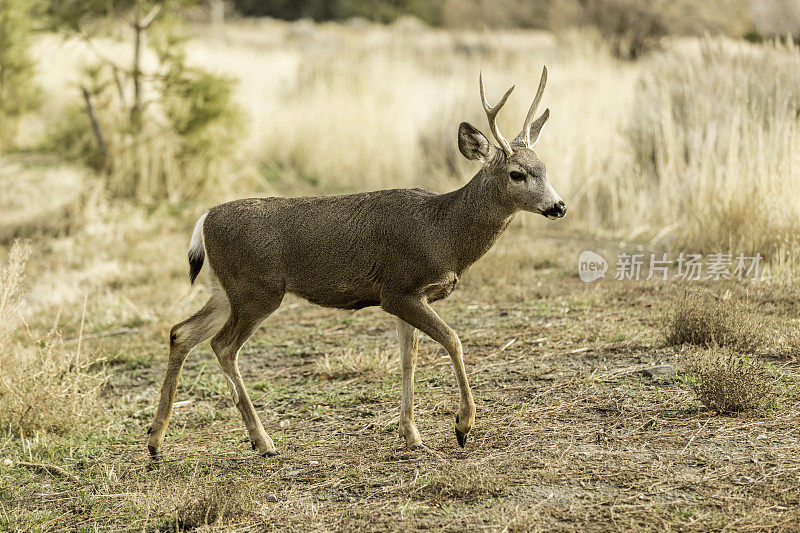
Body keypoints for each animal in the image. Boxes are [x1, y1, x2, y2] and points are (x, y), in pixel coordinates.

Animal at [147, 66, 564, 458]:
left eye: (545, 168)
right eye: (517, 174)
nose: (558, 206)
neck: (444, 231)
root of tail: (205, 218)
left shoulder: (410, 298)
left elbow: (408, 359)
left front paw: (412, 435)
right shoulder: (399, 289)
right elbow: (453, 339)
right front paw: (462, 425)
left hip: (225, 289)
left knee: (181, 332)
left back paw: (155, 440)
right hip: (257, 290)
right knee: (222, 345)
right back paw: (262, 441)